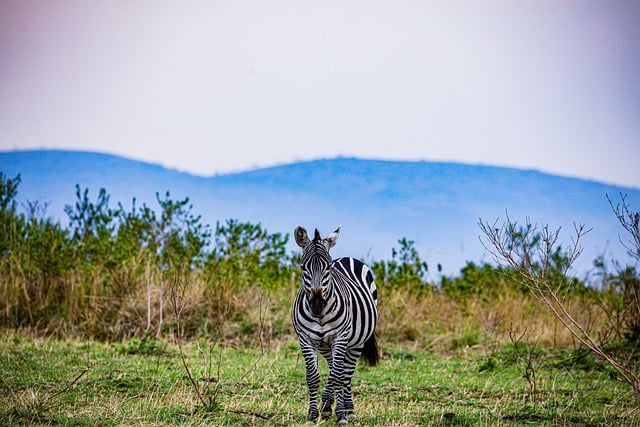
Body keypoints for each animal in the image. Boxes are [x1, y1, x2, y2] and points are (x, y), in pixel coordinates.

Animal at [292, 226, 378, 426]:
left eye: (328, 267)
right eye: (303, 267)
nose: (317, 305)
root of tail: (347, 257)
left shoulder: (340, 338)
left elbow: (338, 377)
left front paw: (341, 416)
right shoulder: (305, 339)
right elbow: (313, 377)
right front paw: (312, 415)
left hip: (356, 342)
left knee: (345, 374)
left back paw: (348, 410)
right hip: (325, 346)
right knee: (333, 370)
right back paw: (326, 407)